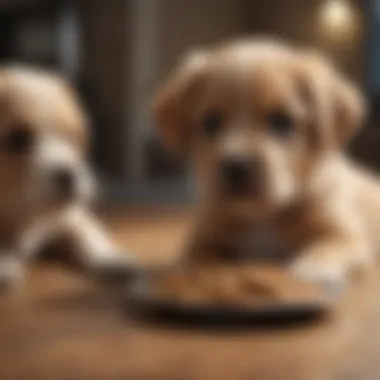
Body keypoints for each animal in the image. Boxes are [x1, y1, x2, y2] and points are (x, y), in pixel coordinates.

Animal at [0, 64, 134, 288]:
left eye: (71, 136)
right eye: (17, 139)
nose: (69, 176)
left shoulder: (70, 217)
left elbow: (90, 236)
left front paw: (112, 260)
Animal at [152, 37, 378, 288]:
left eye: (281, 121)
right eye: (209, 122)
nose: (237, 166)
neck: (261, 216)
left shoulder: (347, 233)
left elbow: (327, 246)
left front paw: (313, 269)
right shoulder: (203, 236)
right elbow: (199, 257)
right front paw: (206, 274)